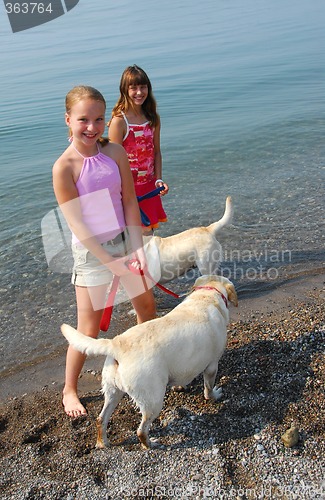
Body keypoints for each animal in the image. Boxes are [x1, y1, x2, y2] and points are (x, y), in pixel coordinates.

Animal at [61, 274, 238, 450]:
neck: (206, 296)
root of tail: (116, 344)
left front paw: (179, 387)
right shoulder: (212, 365)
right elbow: (208, 388)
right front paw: (214, 395)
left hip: (112, 391)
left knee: (100, 419)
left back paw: (102, 442)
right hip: (152, 399)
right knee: (141, 430)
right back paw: (150, 444)